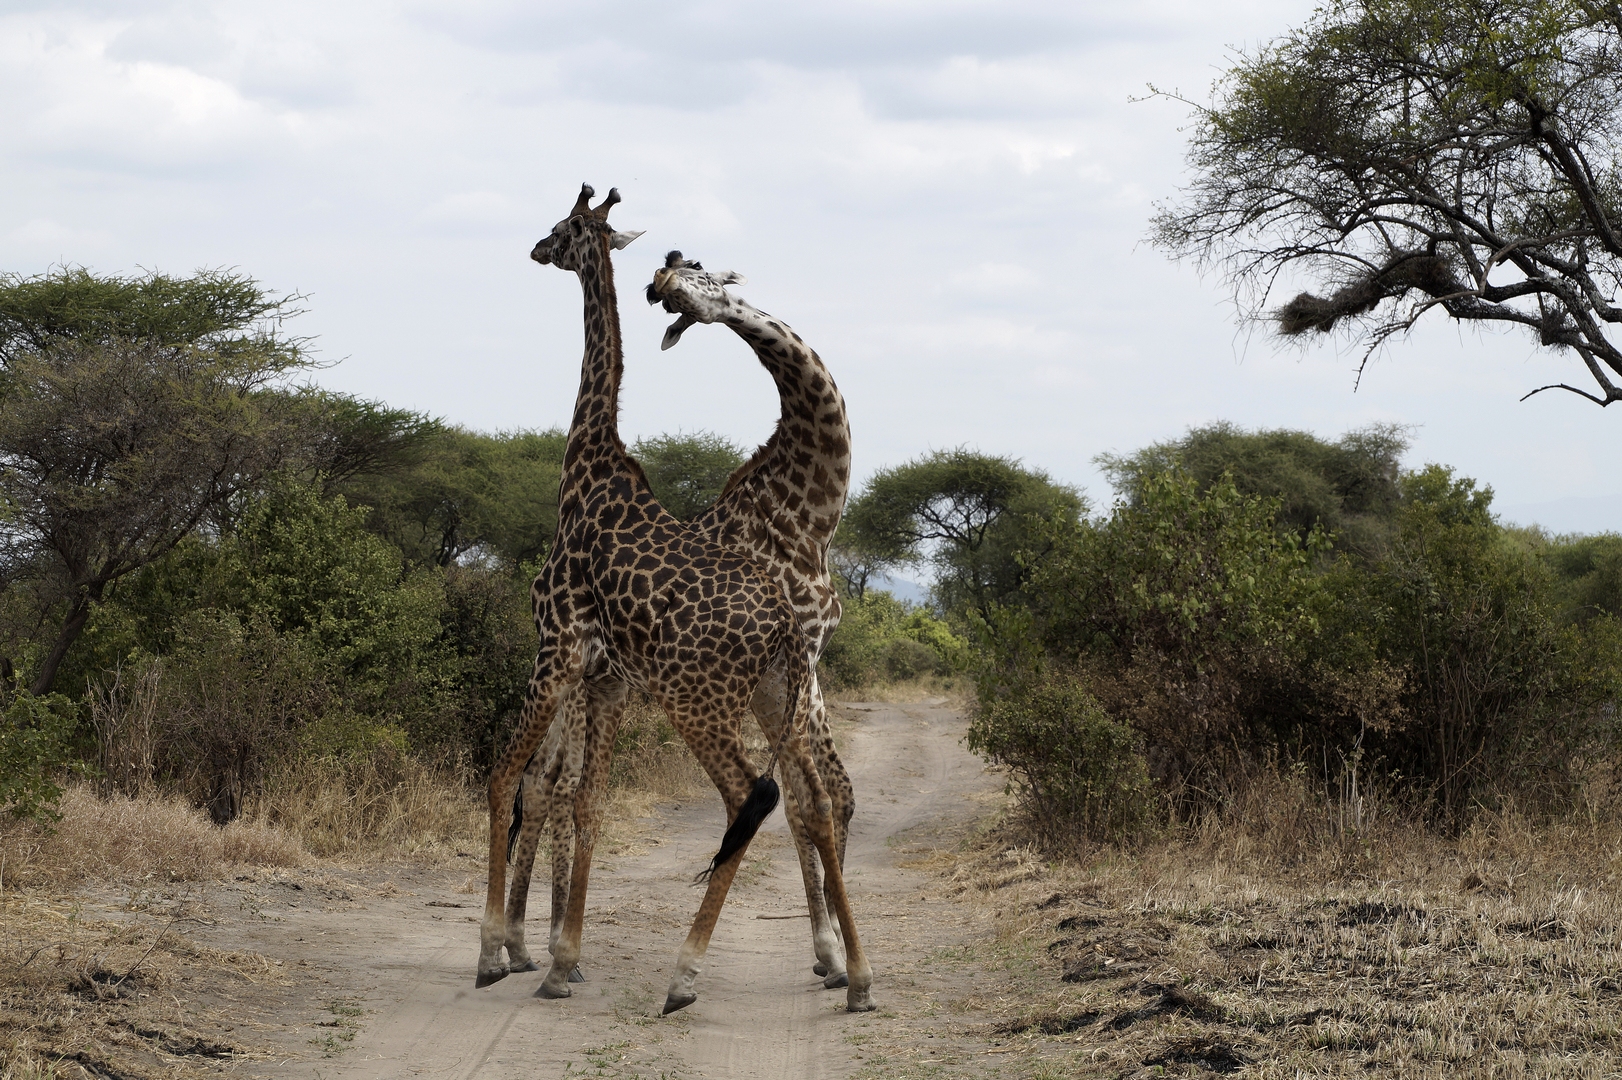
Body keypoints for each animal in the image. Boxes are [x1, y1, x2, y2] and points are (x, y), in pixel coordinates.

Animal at [480, 180, 875, 1011]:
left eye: (561, 226)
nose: (535, 249)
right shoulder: (598, 670)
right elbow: (576, 796)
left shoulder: (564, 648)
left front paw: (503, 953)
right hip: (704, 687)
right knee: (561, 787)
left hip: (696, 693)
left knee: (754, 796)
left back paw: (656, 969)